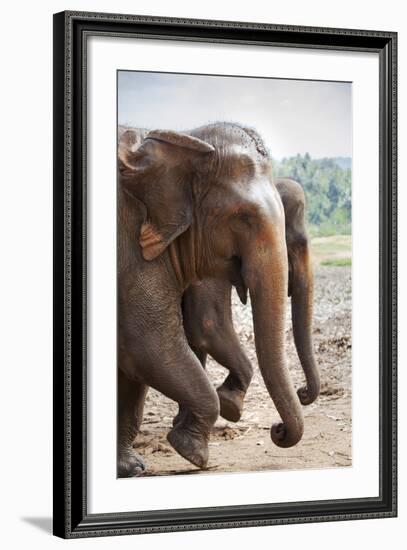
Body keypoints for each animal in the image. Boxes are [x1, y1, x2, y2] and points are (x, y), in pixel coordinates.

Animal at [116, 121, 304, 478]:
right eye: (244, 218)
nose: (277, 430)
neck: (185, 138)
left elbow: (136, 361)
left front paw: (131, 467)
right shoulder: (131, 248)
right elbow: (150, 342)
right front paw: (193, 453)